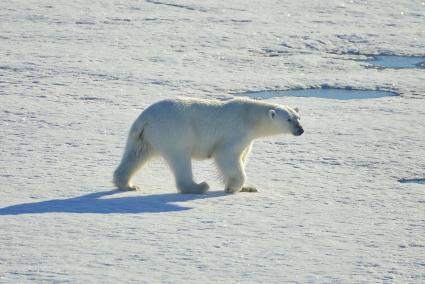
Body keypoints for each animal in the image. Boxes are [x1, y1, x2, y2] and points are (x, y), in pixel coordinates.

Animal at [113, 97, 302, 193]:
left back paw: (128, 184)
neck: (250, 117)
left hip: (143, 137)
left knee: (135, 155)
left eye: (298, 118)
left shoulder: (248, 139)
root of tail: (144, 119)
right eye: (288, 119)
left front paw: (248, 187)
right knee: (180, 158)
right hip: (174, 131)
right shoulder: (235, 131)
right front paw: (233, 187)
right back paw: (199, 186)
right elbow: (226, 155)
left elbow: (242, 156)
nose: (300, 130)